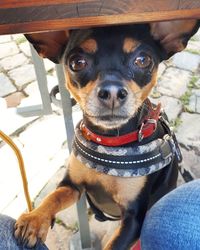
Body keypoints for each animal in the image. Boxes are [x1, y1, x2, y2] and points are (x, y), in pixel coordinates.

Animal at [13, 18, 198, 249]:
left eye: (143, 60)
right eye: (76, 62)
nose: (112, 92)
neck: (110, 142)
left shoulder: (134, 219)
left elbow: (113, 245)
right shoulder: (72, 185)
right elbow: (53, 197)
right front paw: (34, 219)